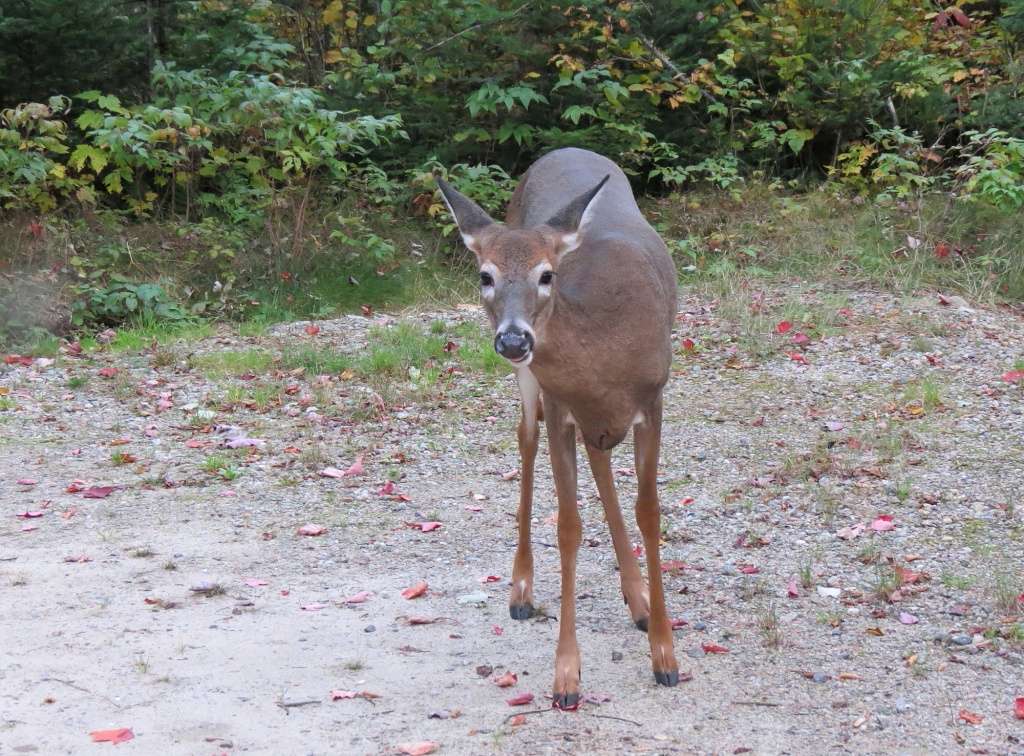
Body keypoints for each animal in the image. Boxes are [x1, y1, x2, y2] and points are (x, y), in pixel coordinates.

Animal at [434, 147, 679, 704]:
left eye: (547, 275)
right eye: (485, 275)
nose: (513, 339)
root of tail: (565, 149)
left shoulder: (653, 401)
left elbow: (650, 512)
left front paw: (664, 654)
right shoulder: (559, 401)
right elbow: (568, 526)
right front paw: (567, 674)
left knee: (601, 462)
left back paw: (638, 600)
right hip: (534, 388)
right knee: (527, 441)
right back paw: (521, 589)